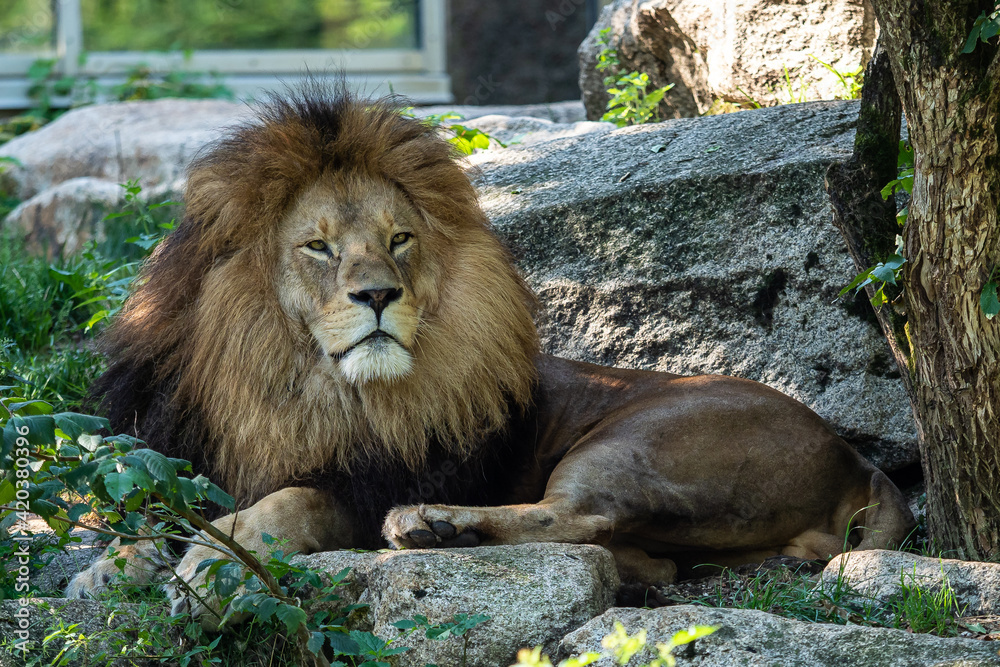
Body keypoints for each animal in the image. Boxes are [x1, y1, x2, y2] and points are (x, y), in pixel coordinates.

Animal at [67, 87, 915, 620]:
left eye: (399, 238)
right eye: (318, 246)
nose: (378, 294)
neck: (289, 381)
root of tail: (856, 457)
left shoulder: (375, 479)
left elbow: (289, 501)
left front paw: (212, 560)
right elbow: (153, 511)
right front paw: (109, 565)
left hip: (634, 438)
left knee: (579, 517)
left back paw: (432, 526)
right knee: (642, 554)